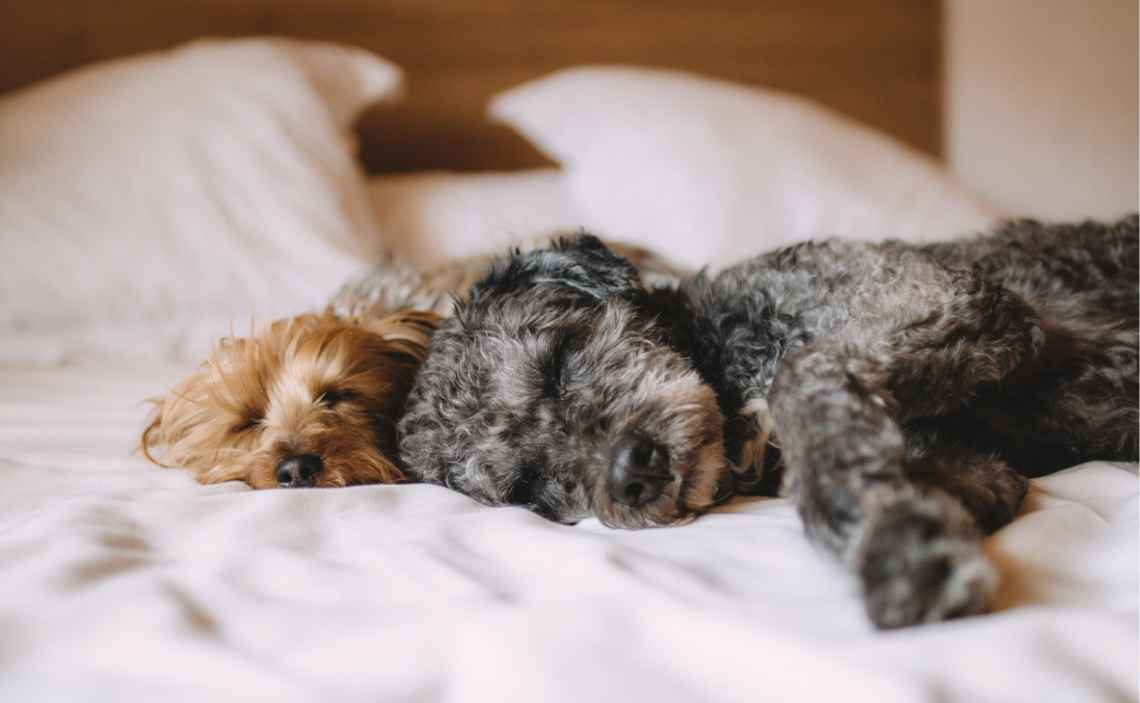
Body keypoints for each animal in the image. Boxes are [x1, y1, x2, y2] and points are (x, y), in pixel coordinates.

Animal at [396, 216, 1135, 628]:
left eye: (556, 361)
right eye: (530, 486)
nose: (632, 473)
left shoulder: (950, 297)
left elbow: (799, 376)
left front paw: (898, 553)